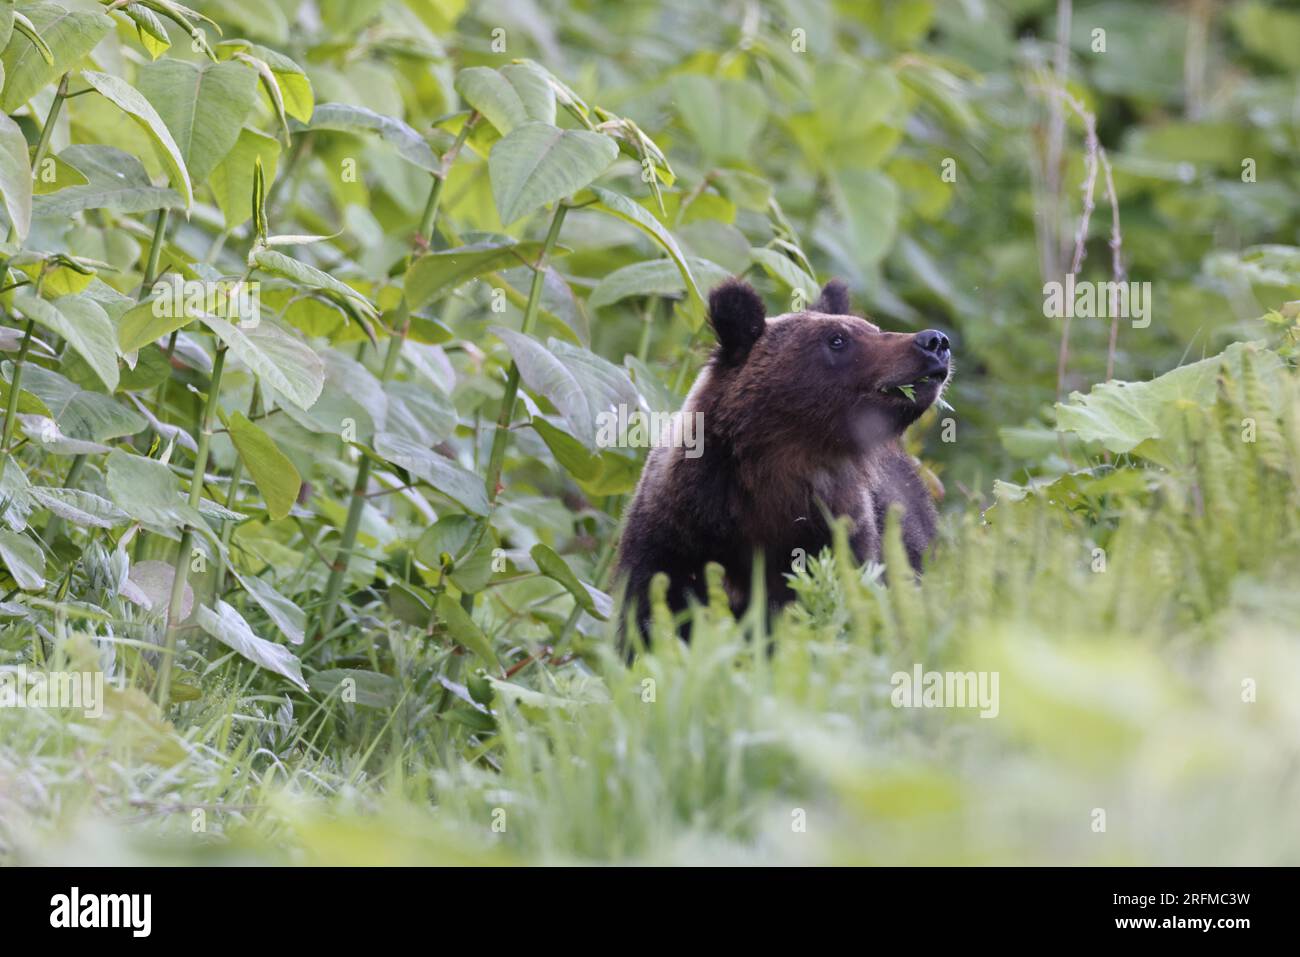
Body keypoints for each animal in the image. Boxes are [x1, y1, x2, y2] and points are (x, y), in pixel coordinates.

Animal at [614, 277, 951, 642]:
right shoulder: (675, 538)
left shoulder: (843, 536)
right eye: (838, 338)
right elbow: (653, 616)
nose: (934, 341)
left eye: (872, 328)